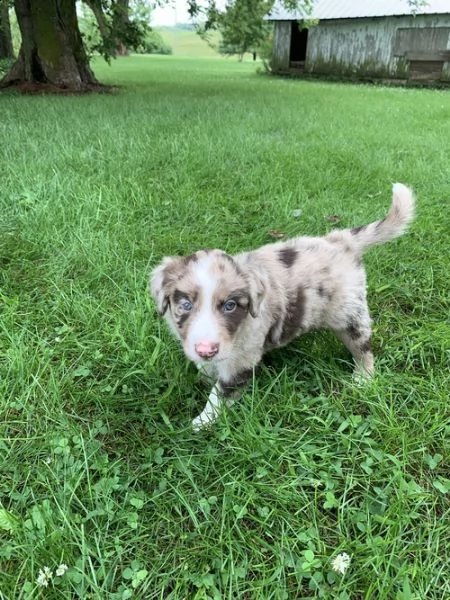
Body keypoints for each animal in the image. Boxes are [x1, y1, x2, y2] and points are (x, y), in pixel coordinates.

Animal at [150, 180, 414, 428]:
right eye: (185, 304)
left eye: (230, 306)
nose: (206, 350)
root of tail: (340, 241)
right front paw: (205, 375)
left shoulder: (241, 359)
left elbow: (220, 393)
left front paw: (202, 422)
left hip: (350, 314)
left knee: (363, 348)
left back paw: (363, 379)